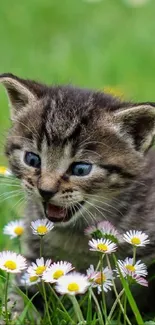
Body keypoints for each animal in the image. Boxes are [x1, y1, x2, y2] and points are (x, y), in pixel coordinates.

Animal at [0, 73, 155, 312]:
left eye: (81, 169)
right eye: (32, 159)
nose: (45, 190)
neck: (74, 234)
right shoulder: (35, 257)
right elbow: (21, 293)